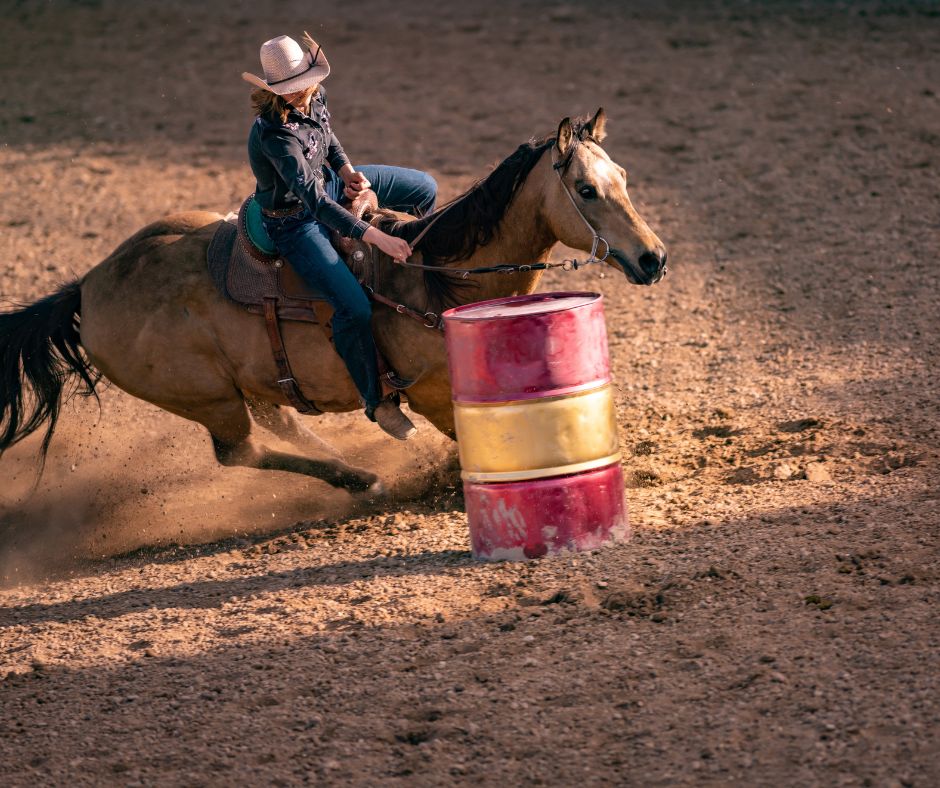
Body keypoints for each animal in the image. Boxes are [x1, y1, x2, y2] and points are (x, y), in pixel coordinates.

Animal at [0, 110, 664, 492]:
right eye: (586, 189)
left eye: (625, 178)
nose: (653, 258)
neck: (437, 276)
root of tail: (87, 286)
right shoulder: (431, 393)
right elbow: (463, 437)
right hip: (207, 398)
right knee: (240, 453)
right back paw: (357, 476)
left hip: (248, 384)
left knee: (281, 423)